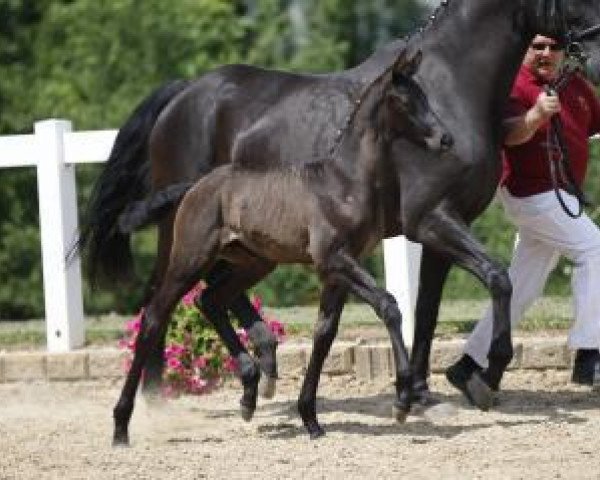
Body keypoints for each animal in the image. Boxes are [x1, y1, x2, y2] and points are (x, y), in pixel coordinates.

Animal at [109, 50, 454, 444]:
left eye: (425, 96)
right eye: (406, 101)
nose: (445, 139)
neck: (345, 181)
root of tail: (193, 186)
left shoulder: (338, 271)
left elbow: (324, 334)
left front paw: (311, 420)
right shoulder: (333, 260)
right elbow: (389, 306)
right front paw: (401, 401)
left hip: (253, 263)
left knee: (209, 300)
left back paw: (248, 392)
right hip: (190, 259)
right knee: (154, 317)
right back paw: (121, 426)